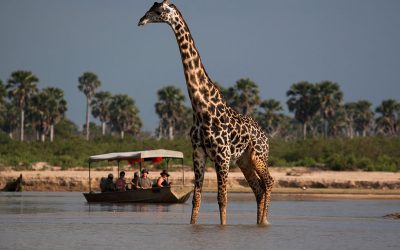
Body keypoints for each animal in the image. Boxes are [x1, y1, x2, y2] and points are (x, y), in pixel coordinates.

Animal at [139, 0, 274, 225]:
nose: (141, 20)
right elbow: (197, 198)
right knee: (258, 188)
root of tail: (266, 136)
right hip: (244, 160)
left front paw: (223, 227)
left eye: (158, 11)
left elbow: (222, 198)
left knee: (269, 181)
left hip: (258, 156)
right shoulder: (198, 152)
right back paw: (258, 223)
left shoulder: (222, 155)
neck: (201, 107)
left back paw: (264, 221)